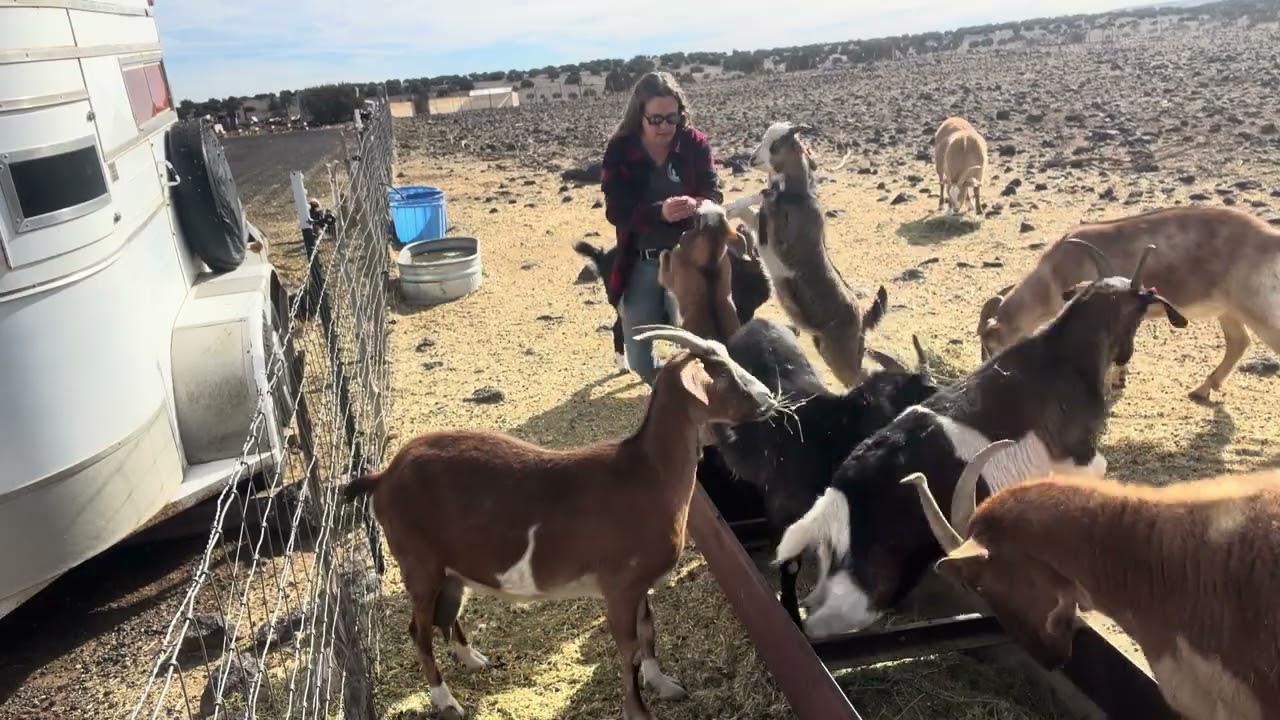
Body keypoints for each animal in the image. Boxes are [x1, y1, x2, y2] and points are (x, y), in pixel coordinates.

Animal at [340, 326, 781, 720]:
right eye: (719, 372)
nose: (769, 397)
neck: (645, 476)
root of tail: (382, 476)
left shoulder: (641, 585)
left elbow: (649, 631)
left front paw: (665, 684)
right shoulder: (619, 585)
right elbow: (629, 650)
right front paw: (638, 711)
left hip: (452, 567)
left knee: (445, 615)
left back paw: (473, 658)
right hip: (418, 563)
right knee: (419, 630)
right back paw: (446, 700)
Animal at [711, 316, 940, 626]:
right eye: (896, 401)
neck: (826, 434)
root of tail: (759, 321)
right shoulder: (784, 509)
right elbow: (789, 563)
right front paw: (791, 613)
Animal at [744, 121, 887, 388]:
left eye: (775, 144)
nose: (752, 159)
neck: (797, 197)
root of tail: (862, 317)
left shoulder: (778, 241)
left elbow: (762, 199)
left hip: (840, 356)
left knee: (861, 376)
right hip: (828, 350)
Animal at [773, 240, 1190, 639]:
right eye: (1137, 315)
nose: (1125, 358)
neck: (1061, 358)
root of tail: (836, 499)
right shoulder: (1079, 460)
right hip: (865, 592)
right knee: (821, 622)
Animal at [977, 205, 1280, 402]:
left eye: (987, 341)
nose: (986, 370)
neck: (1055, 271)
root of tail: (1270, 239)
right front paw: (1119, 380)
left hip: (1255, 307)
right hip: (1229, 309)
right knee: (1238, 342)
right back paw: (1202, 389)